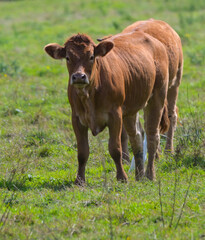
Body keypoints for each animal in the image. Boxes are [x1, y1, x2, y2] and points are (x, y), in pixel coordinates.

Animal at [44, 20, 174, 186]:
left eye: (91, 56)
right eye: (67, 57)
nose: (79, 77)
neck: (90, 93)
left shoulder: (115, 115)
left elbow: (115, 148)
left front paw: (122, 177)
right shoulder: (77, 118)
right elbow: (82, 152)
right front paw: (79, 180)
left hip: (157, 97)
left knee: (152, 136)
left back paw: (150, 174)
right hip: (131, 109)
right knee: (136, 137)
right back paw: (139, 175)